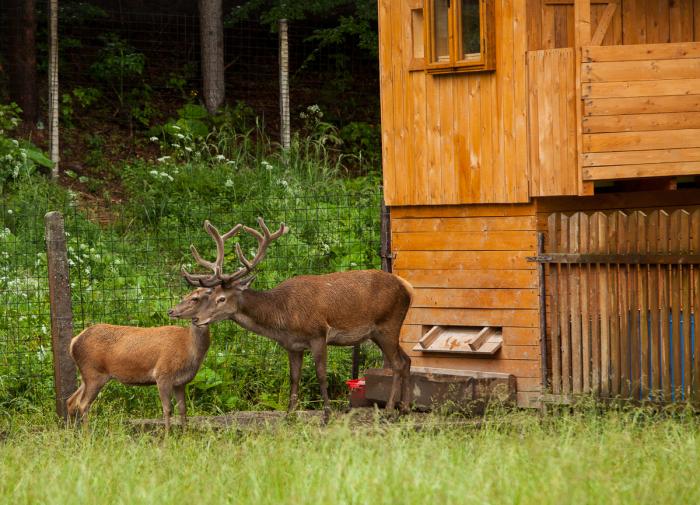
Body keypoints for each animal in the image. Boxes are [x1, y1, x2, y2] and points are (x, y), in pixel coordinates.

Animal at [67, 290, 213, 428]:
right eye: (187, 296)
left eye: (194, 298)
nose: (171, 311)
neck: (188, 346)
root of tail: (74, 341)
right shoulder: (162, 374)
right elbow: (167, 409)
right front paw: (168, 435)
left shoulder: (180, 382)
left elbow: (183, 409)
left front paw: (185, 433)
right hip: (94, 373)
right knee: (82, 403)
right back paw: (86, 434)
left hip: (86, 376)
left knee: (71, 400)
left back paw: (72, 431)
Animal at [173, 218, 412, 418]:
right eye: (207, 296)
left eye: (221, 299)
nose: (197, 319)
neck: (283, 316)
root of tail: (407, 288)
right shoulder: (292, 345)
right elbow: (294, 377)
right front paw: (289, 415)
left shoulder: (318, 334)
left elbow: (321, 375)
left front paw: (327, 414)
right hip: (379, 332)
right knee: (407, 360)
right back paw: (404, 407)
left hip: (388, 324)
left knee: (398, 363)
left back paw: (390, 409)